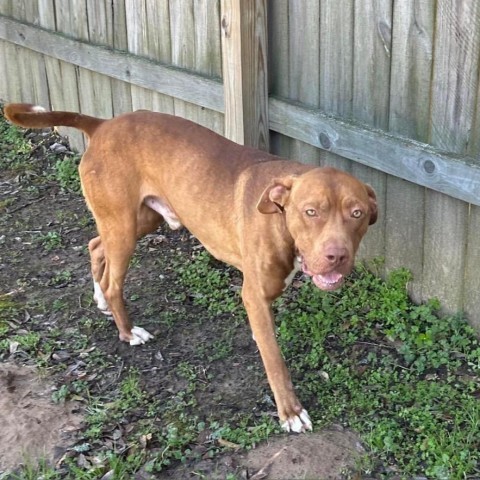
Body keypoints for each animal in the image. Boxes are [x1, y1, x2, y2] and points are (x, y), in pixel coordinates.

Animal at [4, 103, 378, 434]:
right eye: (311, 211)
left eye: (357, 213)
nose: (336, 256)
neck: (281, 221)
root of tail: (103, 125)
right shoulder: (255, 297)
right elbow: (275, 361)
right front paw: (290, 412)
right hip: (124, 228)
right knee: (113, 279)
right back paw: (127, 331)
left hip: (139, 220)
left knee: (96, 247)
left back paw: (101, 301)